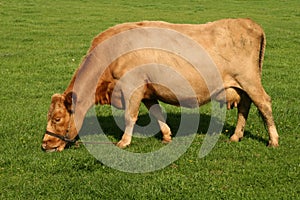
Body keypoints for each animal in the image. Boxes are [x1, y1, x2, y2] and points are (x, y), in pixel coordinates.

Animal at [41, 18, 278, 152]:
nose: (44, 144)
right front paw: (166, 135)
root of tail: (249, 22)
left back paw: (273, 140)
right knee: (245, 106)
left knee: (264, 104)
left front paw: (124, 142)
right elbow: (156, 113)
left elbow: (130, 116)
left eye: (57, 118)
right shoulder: (148, 91)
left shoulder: (132, 87)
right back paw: (236, 136)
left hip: (249, 80)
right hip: (241, 86)